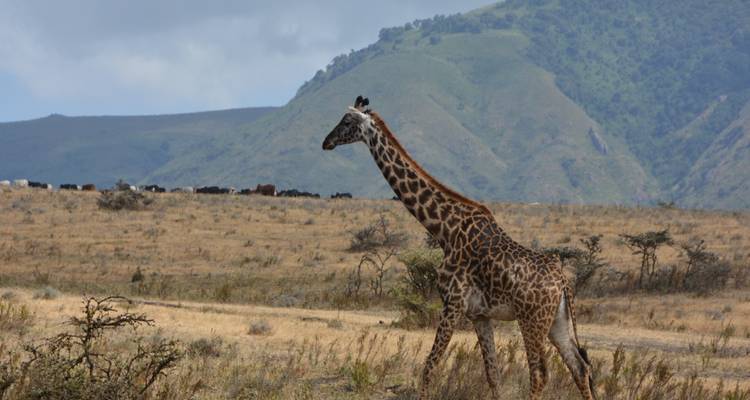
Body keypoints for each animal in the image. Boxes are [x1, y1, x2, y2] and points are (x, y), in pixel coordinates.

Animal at [322, 96, 596, 400]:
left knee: (539, 374)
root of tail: (563, 282)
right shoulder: (479, 315)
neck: (445, 230)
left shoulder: (452, 304)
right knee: (580, 367)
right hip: (557, 323)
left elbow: (430, 365)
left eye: (347, 121)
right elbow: (492, 375)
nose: (326, 142)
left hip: (532, 321)